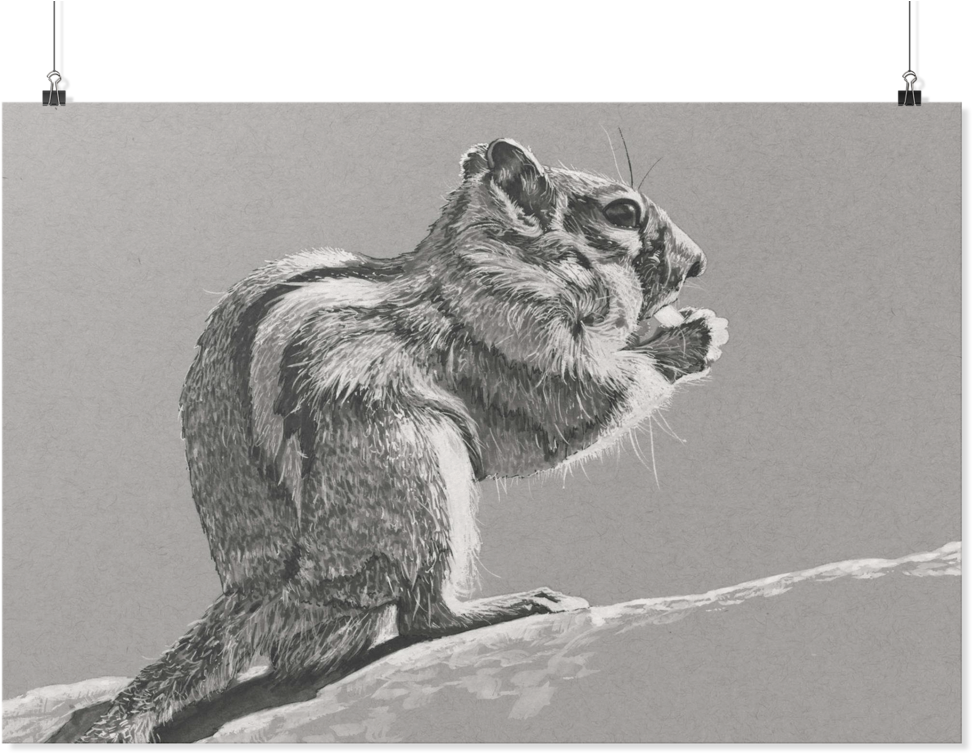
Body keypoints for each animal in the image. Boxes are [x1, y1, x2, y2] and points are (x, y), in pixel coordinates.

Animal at [78, 138, 728, 743]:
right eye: (622, 212)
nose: (698, 263)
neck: (493, 258)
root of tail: (264, 588)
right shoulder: (514, 336)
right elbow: (579, 402)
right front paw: (693, 338)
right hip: (415, 468)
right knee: (422, 614)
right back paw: (511, 605)